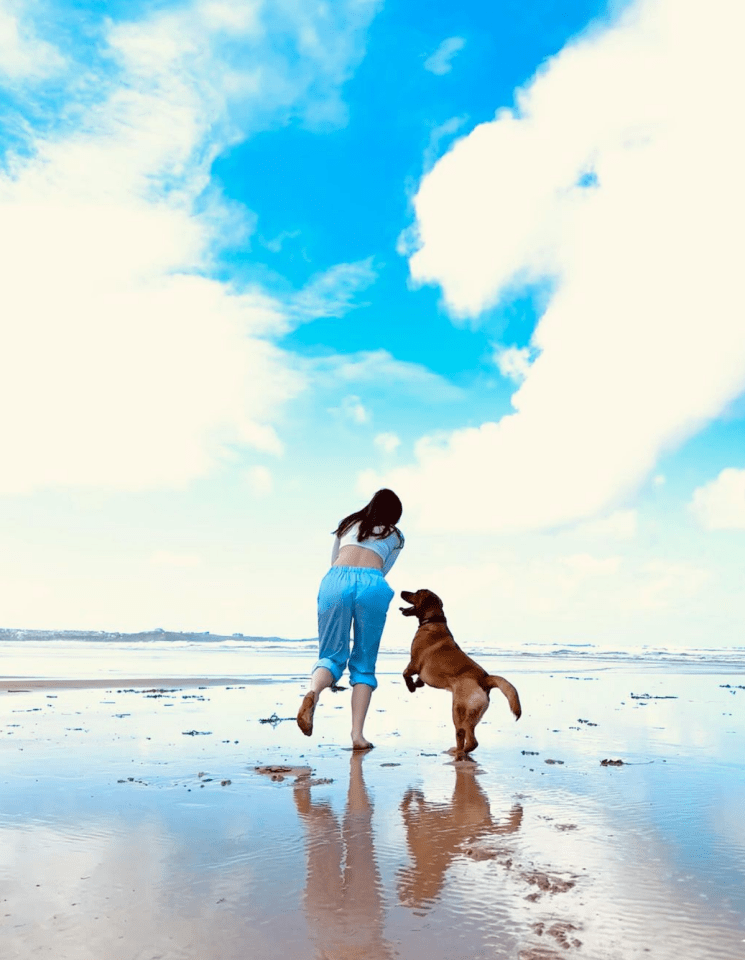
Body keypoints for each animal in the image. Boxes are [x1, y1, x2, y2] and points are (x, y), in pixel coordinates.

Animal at [398, 584, 520, 756]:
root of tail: (485, 679)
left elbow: (405, 674)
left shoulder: (414, 663)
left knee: (471, 740)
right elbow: (418, 679)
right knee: (464, 736)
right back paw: (457, 751)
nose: (402, 591)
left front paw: (411, 686)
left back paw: (459, 753)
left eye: (417, 592)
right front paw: (417, 684)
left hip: (459, 711)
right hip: (471, 715)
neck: (434, 620)